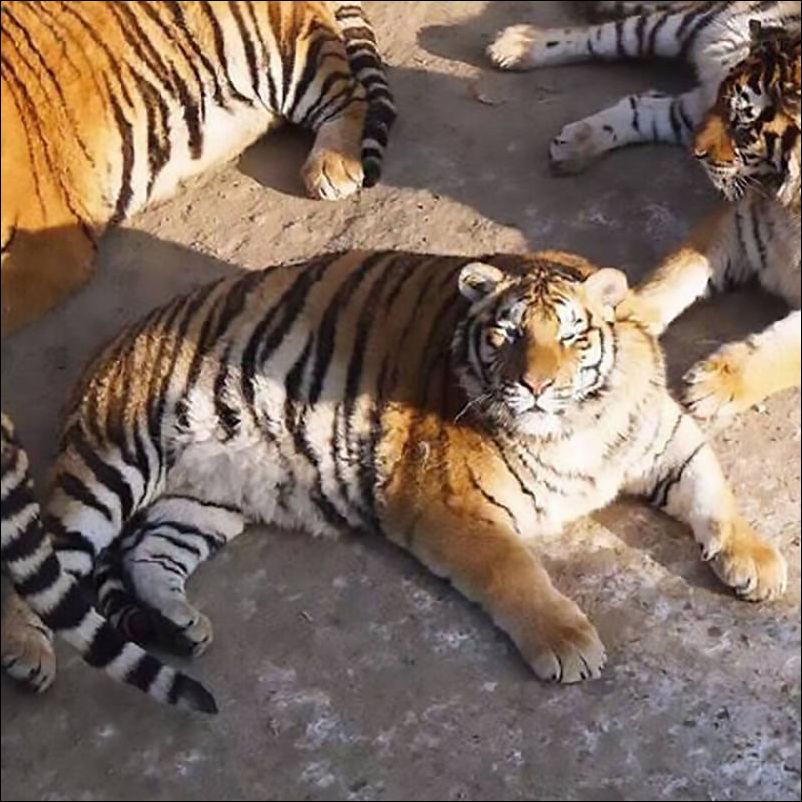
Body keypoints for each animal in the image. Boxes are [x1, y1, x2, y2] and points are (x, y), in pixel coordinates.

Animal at [488, 2, 800, 423]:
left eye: (743, 124)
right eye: (730, 109)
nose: (694, 153)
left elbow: (777, 355)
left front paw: (711, 386)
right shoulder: (735, 221)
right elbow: (676, 274)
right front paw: (621, 319)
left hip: (689, 107)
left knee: (646, 104)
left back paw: (576, 143)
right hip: (679, 30)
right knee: (605, 39)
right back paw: (517, 44)